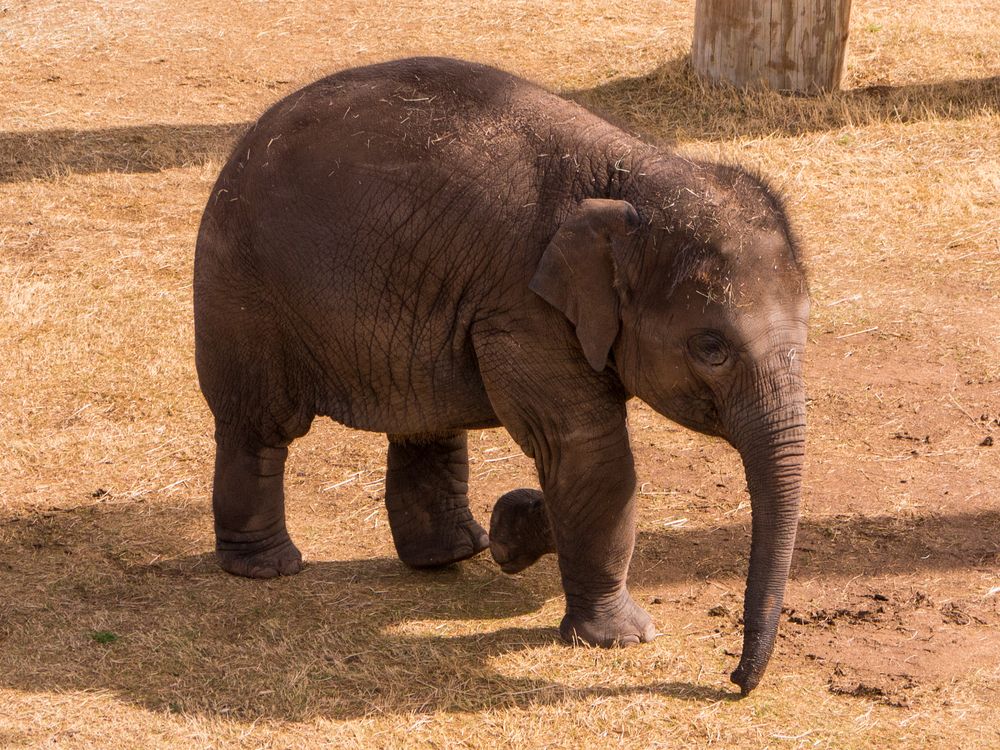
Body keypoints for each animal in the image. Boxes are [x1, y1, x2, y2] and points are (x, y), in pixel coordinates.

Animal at [193, 57, 809, 695]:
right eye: (711, 348)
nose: (734, 680)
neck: (633, 173)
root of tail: (244, 144)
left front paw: (514, 529)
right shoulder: (524, 310)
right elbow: (588, 451)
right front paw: (622, 638)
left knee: (426, 420)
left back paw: (456, 552)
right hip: (242, 291)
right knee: (260, 426)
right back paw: (268, 568)